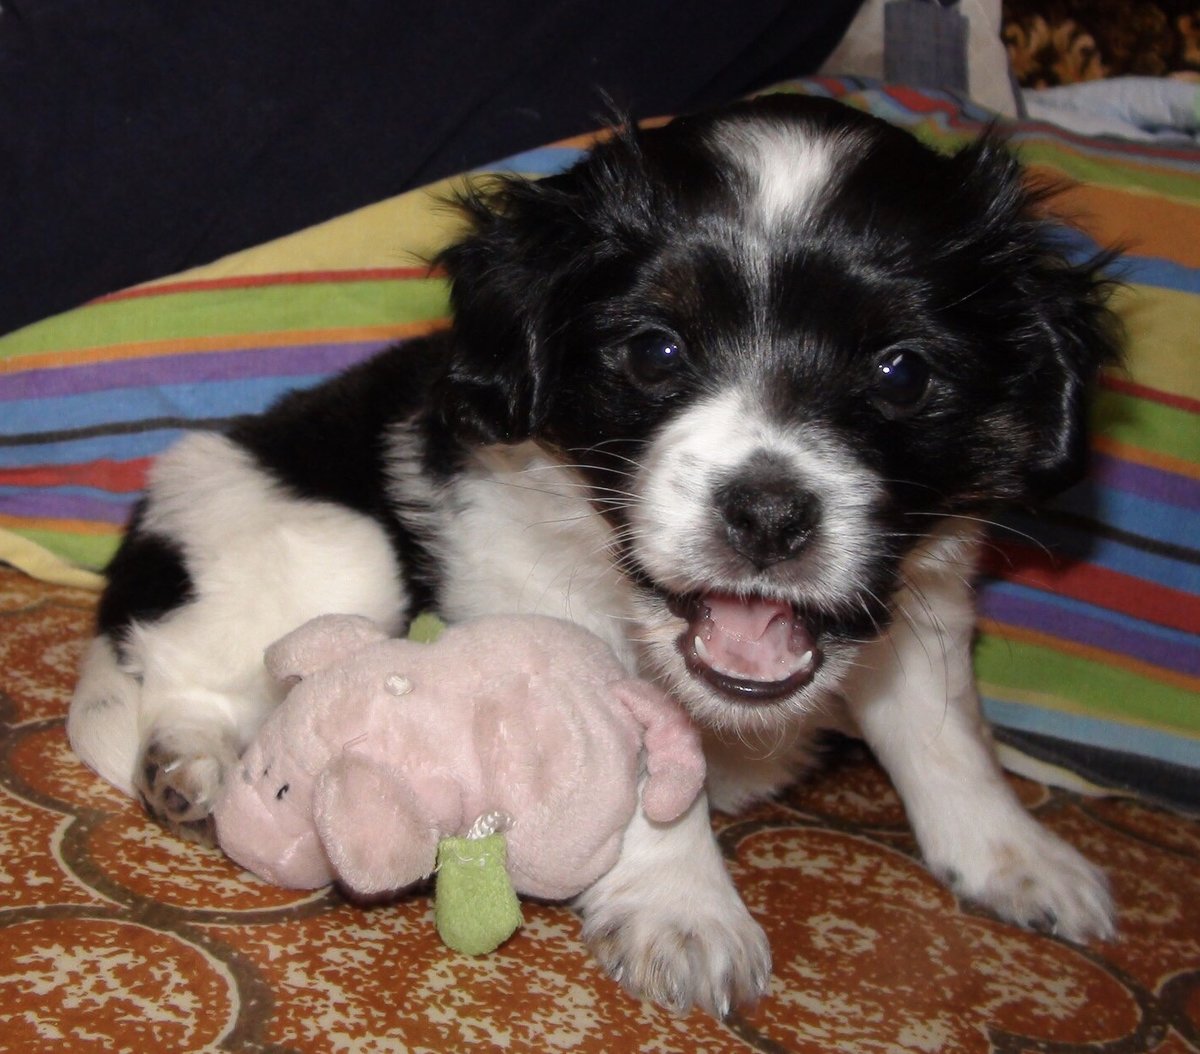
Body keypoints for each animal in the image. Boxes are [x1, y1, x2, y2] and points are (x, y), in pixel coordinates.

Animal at [69, 93, 1121, 1017]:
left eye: (903, 373)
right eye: (655, 353)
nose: (767, 514)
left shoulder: (920, 596)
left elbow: (947, 734)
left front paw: (1013, 855)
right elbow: (640, 765)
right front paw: (684, 908)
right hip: (333, 547)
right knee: (165, 674)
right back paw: (196, 763)